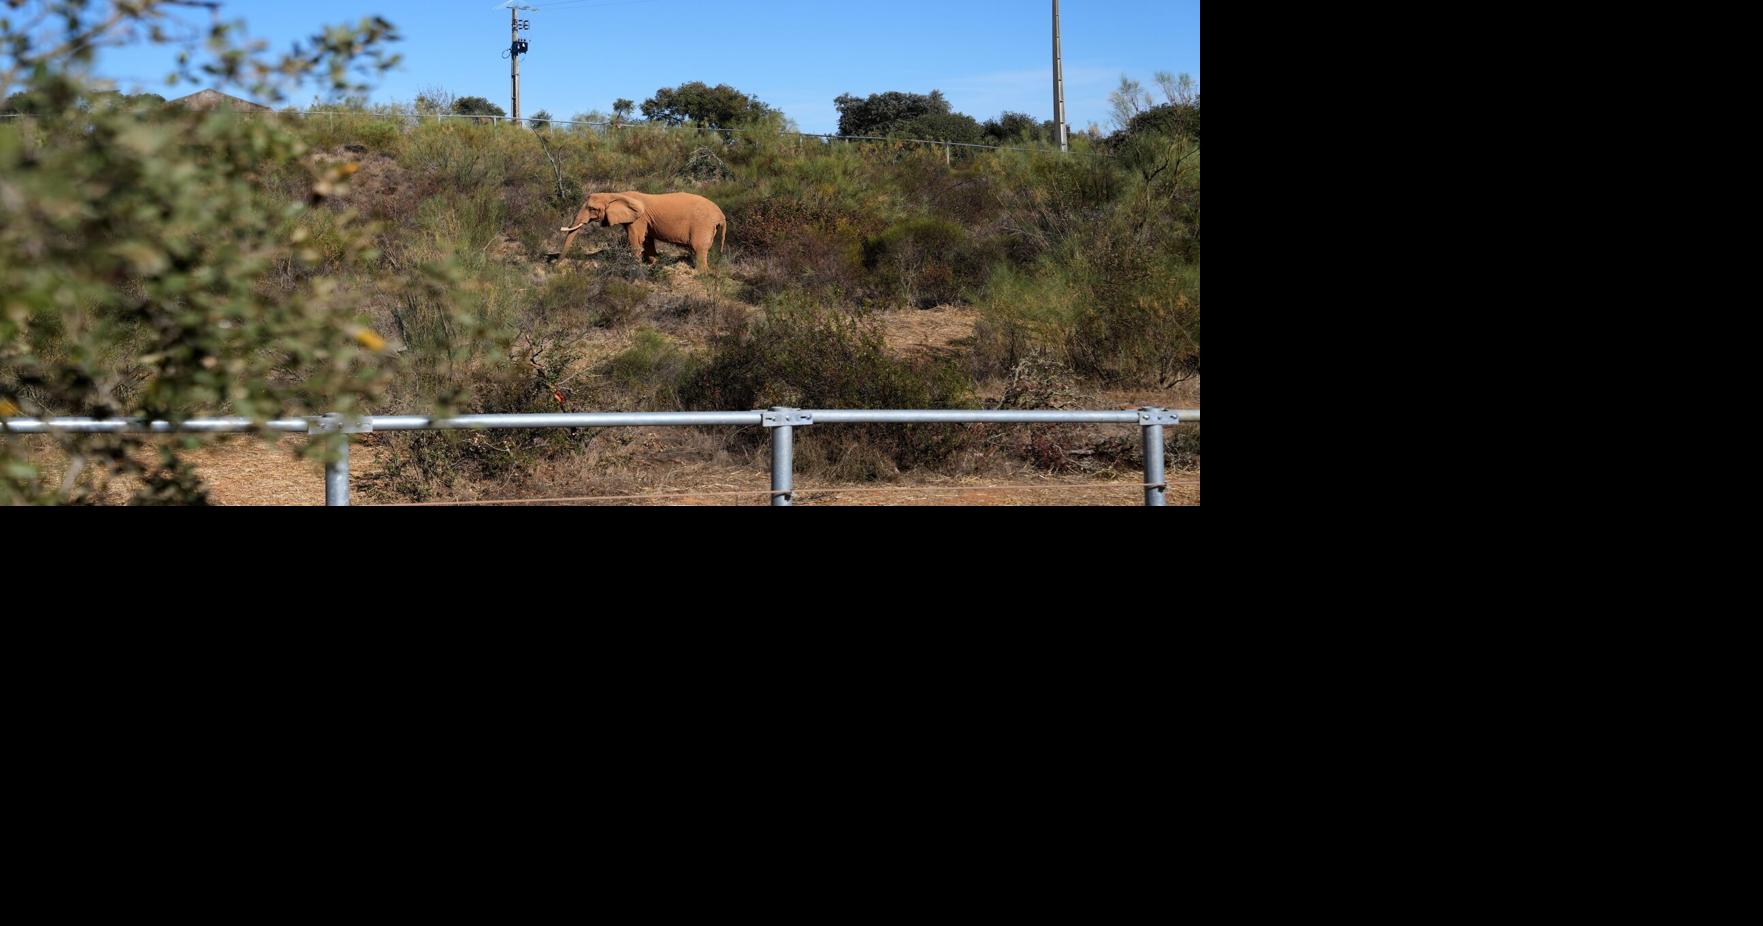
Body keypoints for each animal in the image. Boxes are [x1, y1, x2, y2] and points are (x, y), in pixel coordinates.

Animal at [558, 191, 727, 271]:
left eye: (592, 209)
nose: (556, 265)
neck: (615, 194)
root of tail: (721, 215)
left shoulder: (638, 218)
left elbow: (636, 239)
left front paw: (635, 266)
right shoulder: (645, 220)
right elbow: (647, 239)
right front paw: (652, 263)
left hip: (703, 225)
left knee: (699, 248)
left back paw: (701, 273)